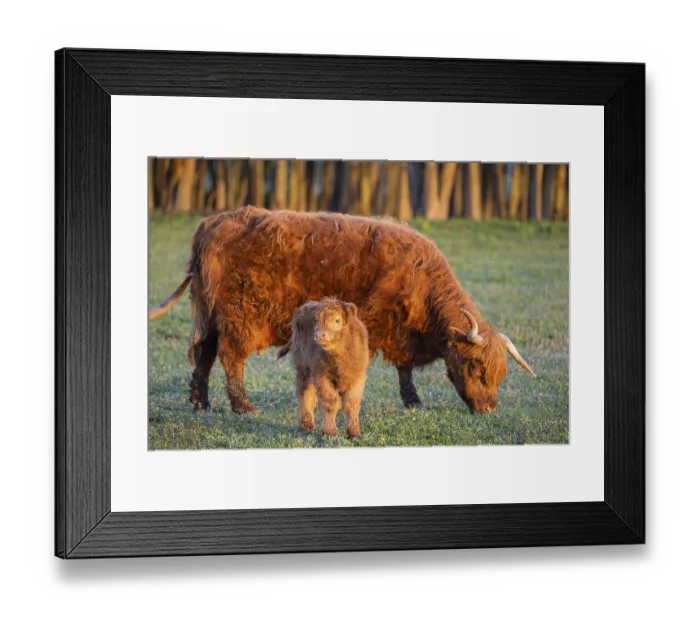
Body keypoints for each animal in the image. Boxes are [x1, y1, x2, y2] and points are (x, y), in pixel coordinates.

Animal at [149, 206, 535, 414]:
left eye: (500, 374)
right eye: (474, 367)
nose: (489, 407)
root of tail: (212, 223)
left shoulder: (402, 334)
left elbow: (404, 369)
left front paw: (413, 401)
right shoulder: (378, 323)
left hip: (210, 313)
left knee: (204, 353)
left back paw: (201, 403)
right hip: (238, 315)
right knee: (230, 356)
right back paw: (243, 406)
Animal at [277, 298, 370, 439]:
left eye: (337, 320)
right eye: (317, 320)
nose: (320, 335)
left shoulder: (357, 378)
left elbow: (352, 404)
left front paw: (354, 433)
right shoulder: (322, 376)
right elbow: (330, 402)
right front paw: (330, 432)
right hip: (304, 368)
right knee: (305, 393)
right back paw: (307, 424)